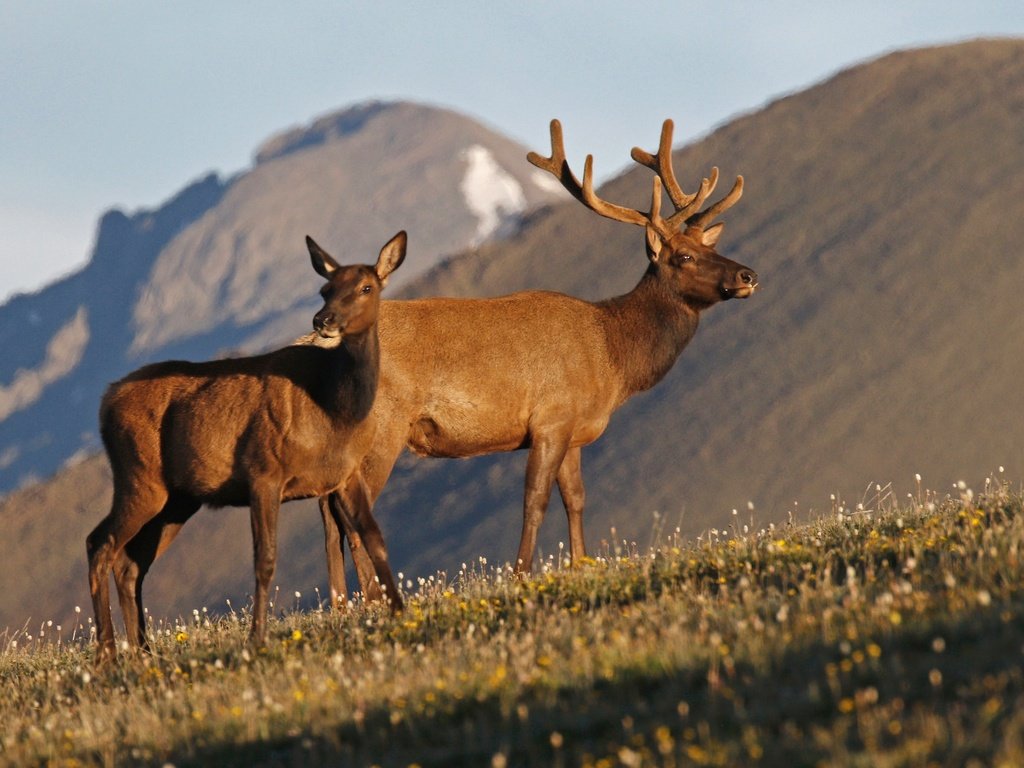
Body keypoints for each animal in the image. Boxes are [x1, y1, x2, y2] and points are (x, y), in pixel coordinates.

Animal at [87, 231, 407, 659]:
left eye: (366, 287)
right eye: (325, 289)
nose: (322, 320)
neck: (333, 408)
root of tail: (105, 402)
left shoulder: (346, 474)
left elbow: (375, 538)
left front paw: (400, 611)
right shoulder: (264, 470)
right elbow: (265, 559)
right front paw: (257, 637)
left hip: (177, 499)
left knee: (130, 563)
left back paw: (144, 651)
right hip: (139, 477)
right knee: (99, 543)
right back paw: (108, 653)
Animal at [319, 117, 761, 606]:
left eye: (711, 247)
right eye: (684, 256)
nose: (747, 275)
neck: (612, 356)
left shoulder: (574, 431)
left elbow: (576, 498)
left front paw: (580, 564)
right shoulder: (551, 418)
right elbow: (536, 500)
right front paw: (521, 574)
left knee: (328, 508)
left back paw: (341, 603)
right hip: (382, 426)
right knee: (348, 507)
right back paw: (372, 599)